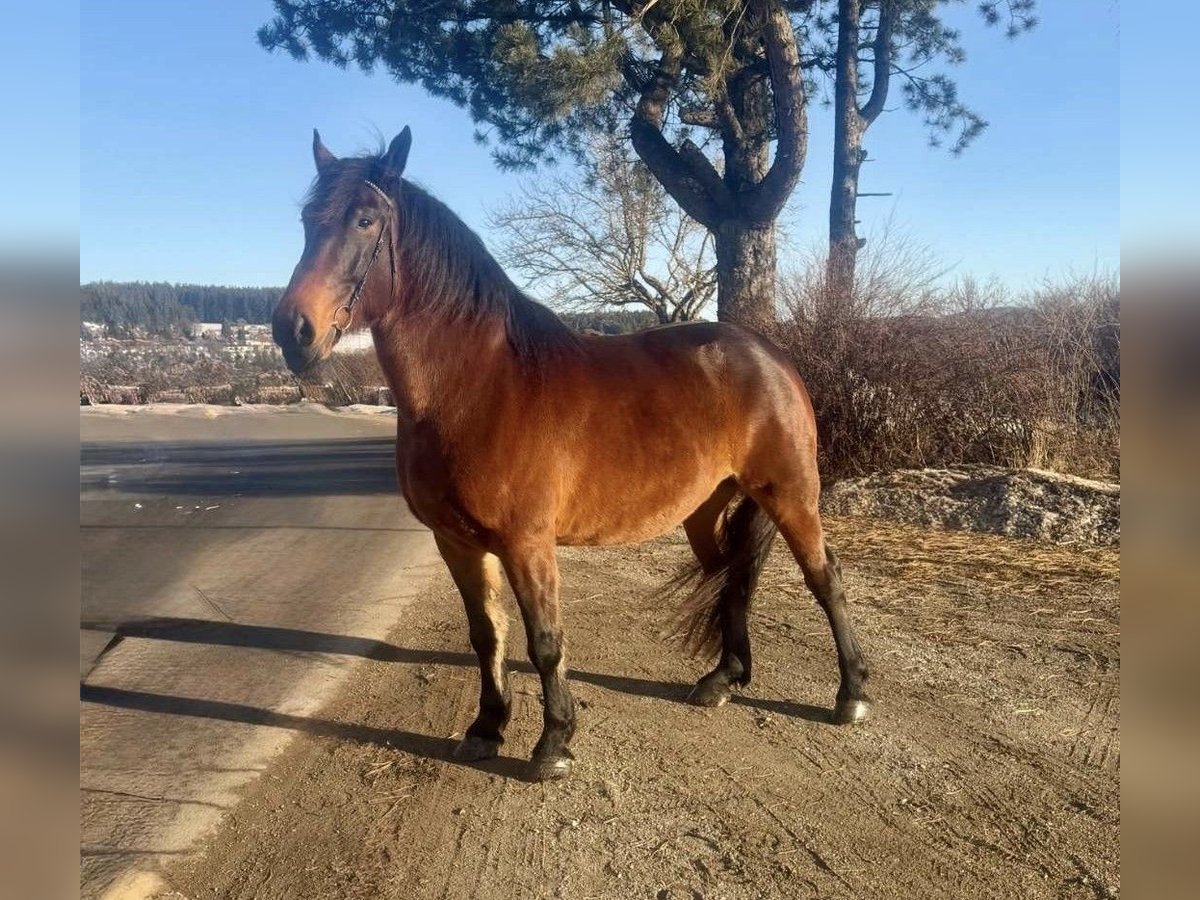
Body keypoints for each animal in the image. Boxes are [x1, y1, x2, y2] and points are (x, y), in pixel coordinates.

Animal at [272, 127, 871, 782]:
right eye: (304, 220)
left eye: (365, 220)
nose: (292, 331)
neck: (477, 385)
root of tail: (772, 354)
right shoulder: (455, 541)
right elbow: (487, 634)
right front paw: (486, 728)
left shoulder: (527, 542)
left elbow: (544, 640)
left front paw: (554, 743)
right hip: (710, 509)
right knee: (736, 577)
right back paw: (722, 679)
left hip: (791, 494)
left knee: (825, 578)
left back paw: (852, 695)